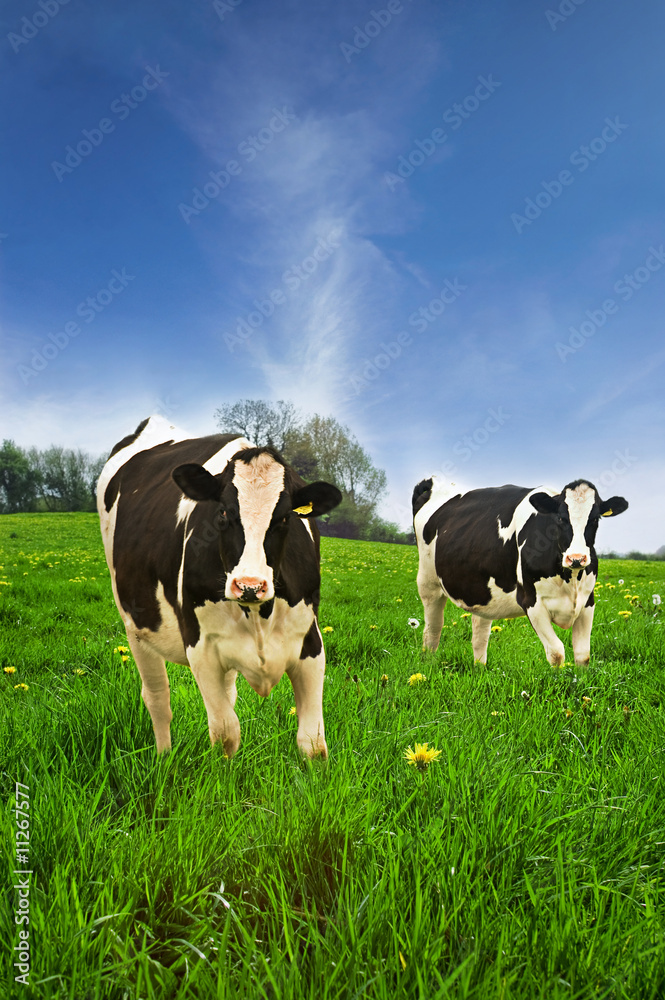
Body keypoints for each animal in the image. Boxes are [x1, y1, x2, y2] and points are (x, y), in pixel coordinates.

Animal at [97, 416, 342, 756]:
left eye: (284, 519)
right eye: (223, 512)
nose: (249, 585)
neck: (258, 615)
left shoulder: (310, 643)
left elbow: (313, 743)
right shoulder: (201, 649)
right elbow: (226, 733)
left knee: (227, 693)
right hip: (136, 626)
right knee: (157, 698)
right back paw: (164, 758)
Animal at [410, 474, 628, 664]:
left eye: (595, 519)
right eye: (560, 518)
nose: (576, 558)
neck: (570, 578)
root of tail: (434, 482)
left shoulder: (587, 602)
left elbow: (583, 655)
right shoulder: (532, 602)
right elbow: (556, 652)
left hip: (481, 591)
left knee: (479, 634)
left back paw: (480, 669)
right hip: (428, 584)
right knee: (432, 630)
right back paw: (428, 665)